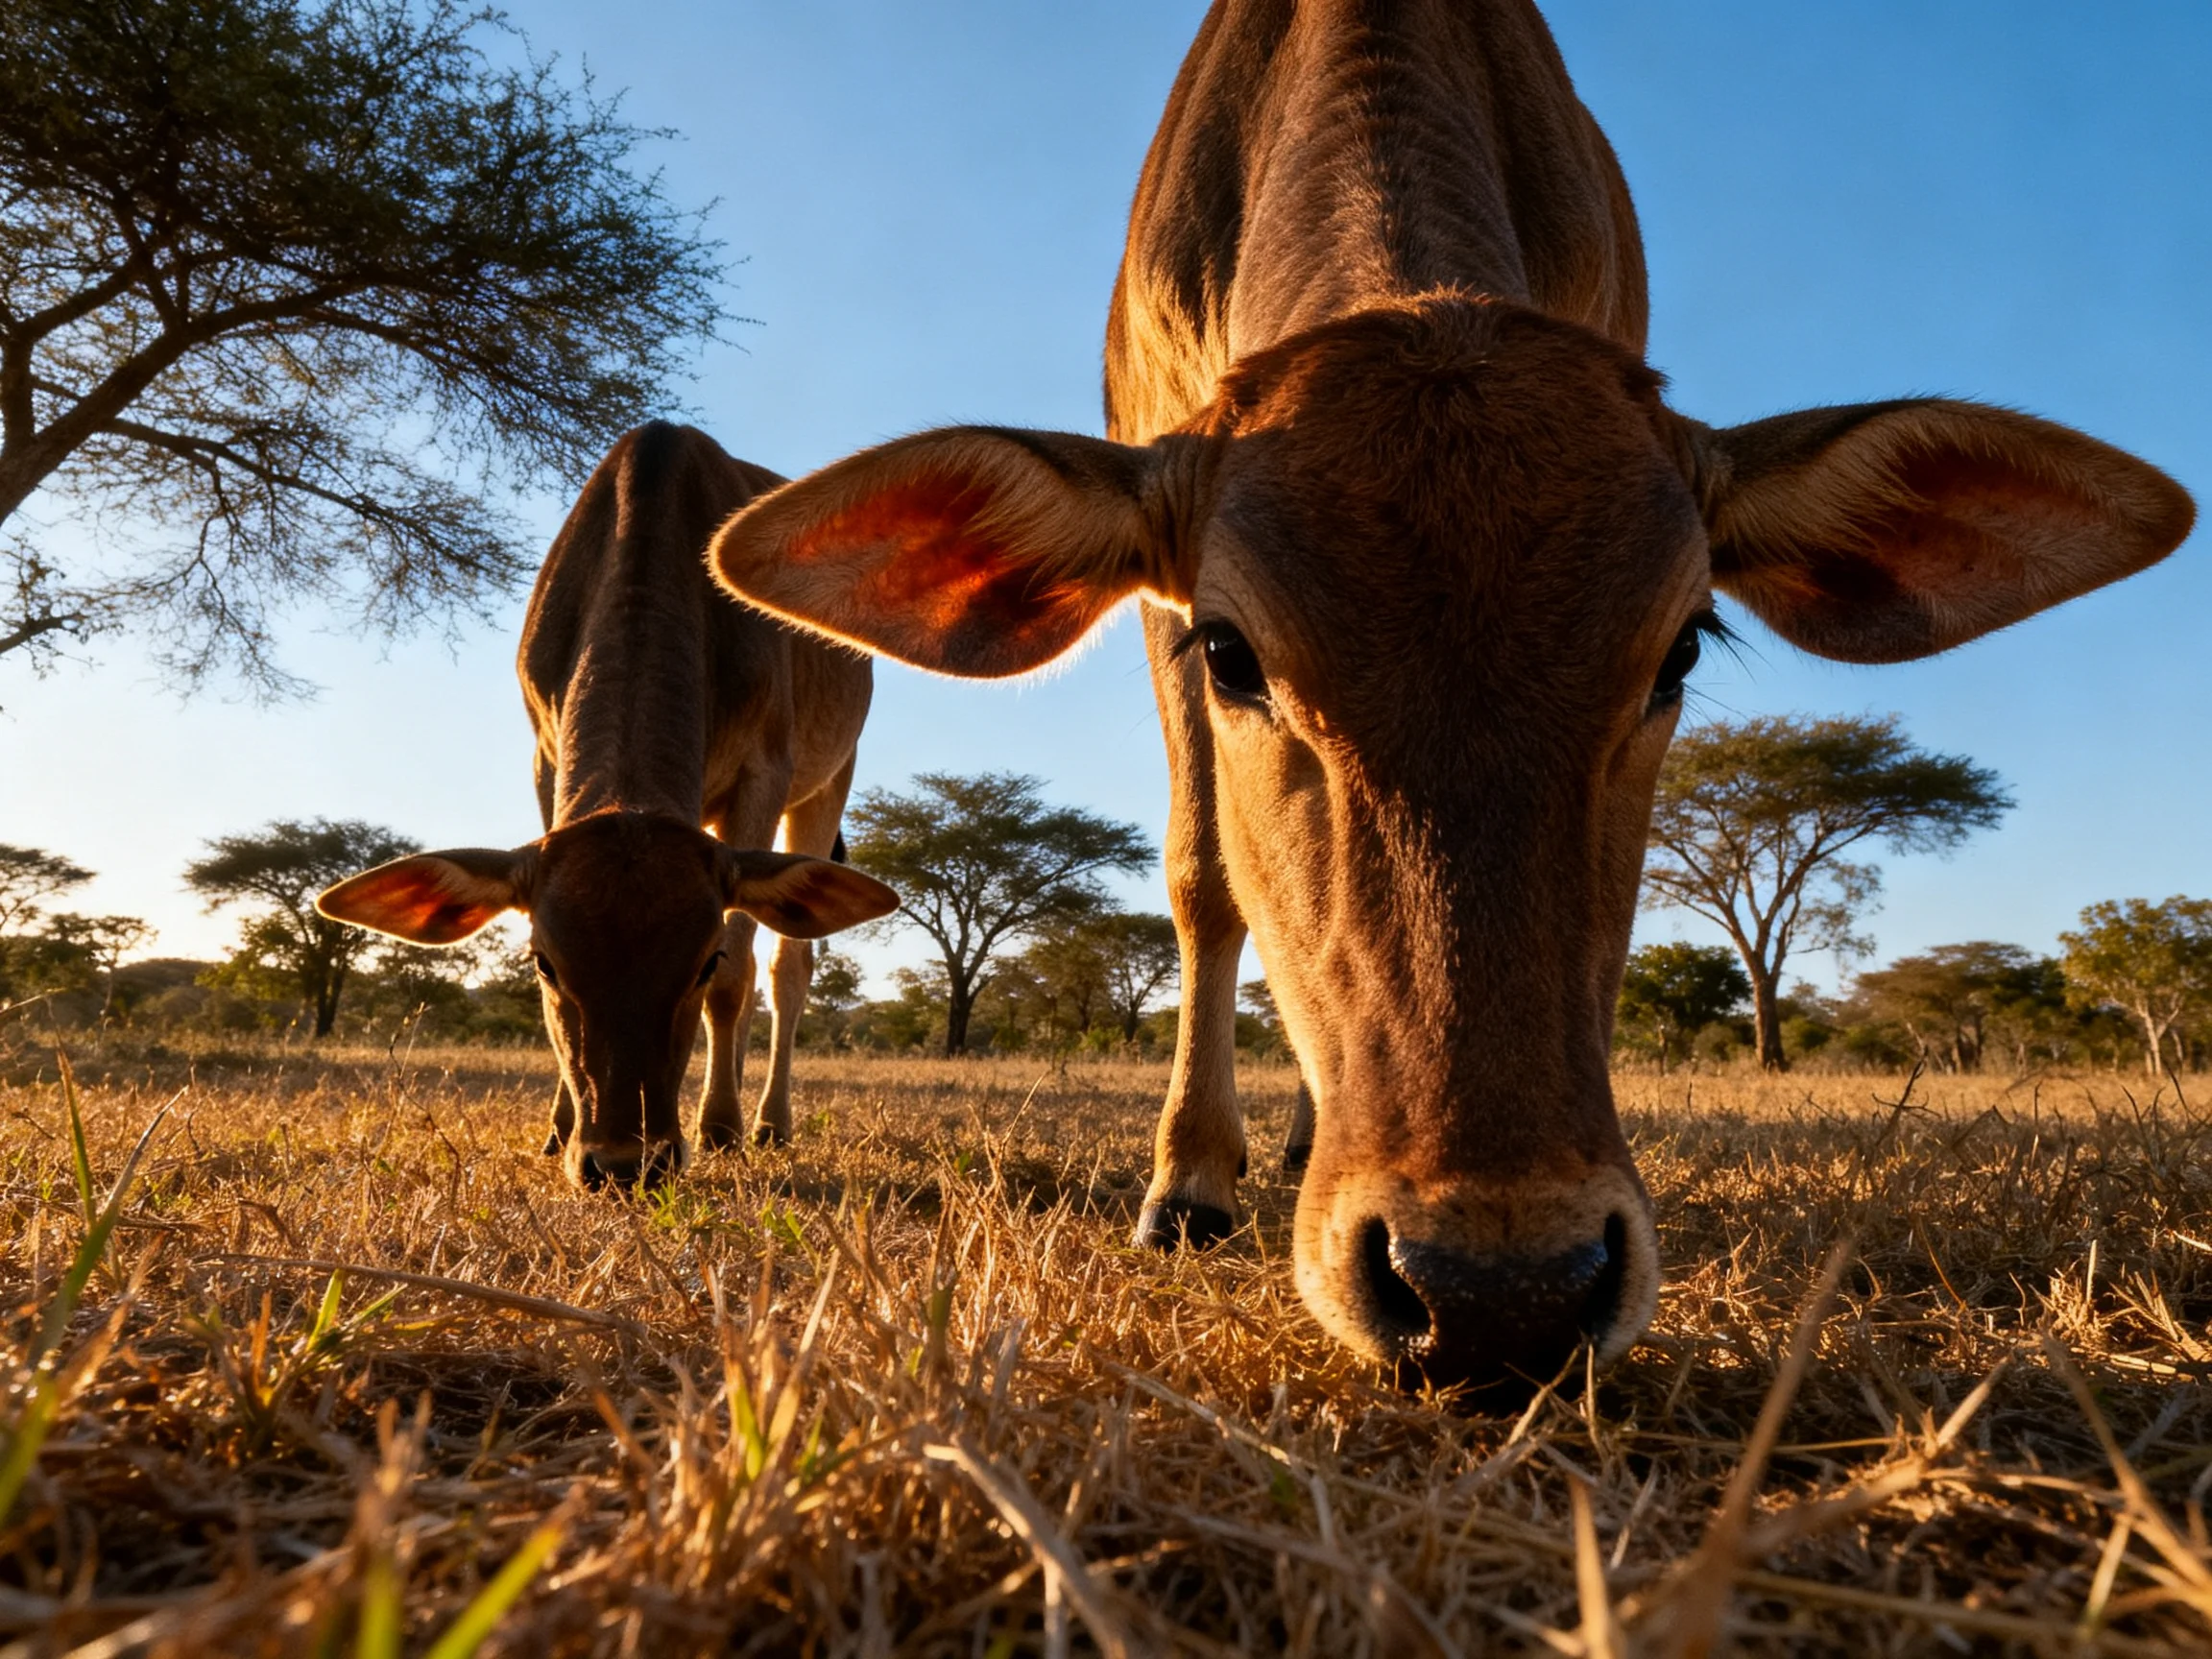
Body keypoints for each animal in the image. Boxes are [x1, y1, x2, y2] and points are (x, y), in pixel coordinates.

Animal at [318, 422, 897, 1190]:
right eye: (544, 962)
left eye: (701, 960)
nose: (624, 1162)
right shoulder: (545, 757)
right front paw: (558, 1128)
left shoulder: (763, 772)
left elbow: (741, 974)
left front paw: (719, 1125)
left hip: (830, 780)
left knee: (788, 966)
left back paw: (762, 1122)